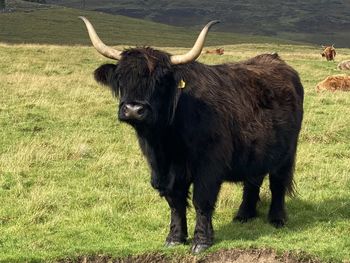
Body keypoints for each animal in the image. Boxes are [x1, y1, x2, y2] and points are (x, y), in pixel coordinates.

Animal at [79, 16, 304, 254]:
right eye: (121, 77)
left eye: (160, 81)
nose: (133, 109)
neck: (164, 141)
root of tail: (277, 61)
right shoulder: (163, 170)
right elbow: (175, 201)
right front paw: (174, 238)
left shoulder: (209, 166)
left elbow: (201, 200)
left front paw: (201, 241)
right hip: (257, 149)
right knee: (254, 179)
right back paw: (244, 215)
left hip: (287, 151)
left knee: (277, 182)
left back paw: (277, 219)